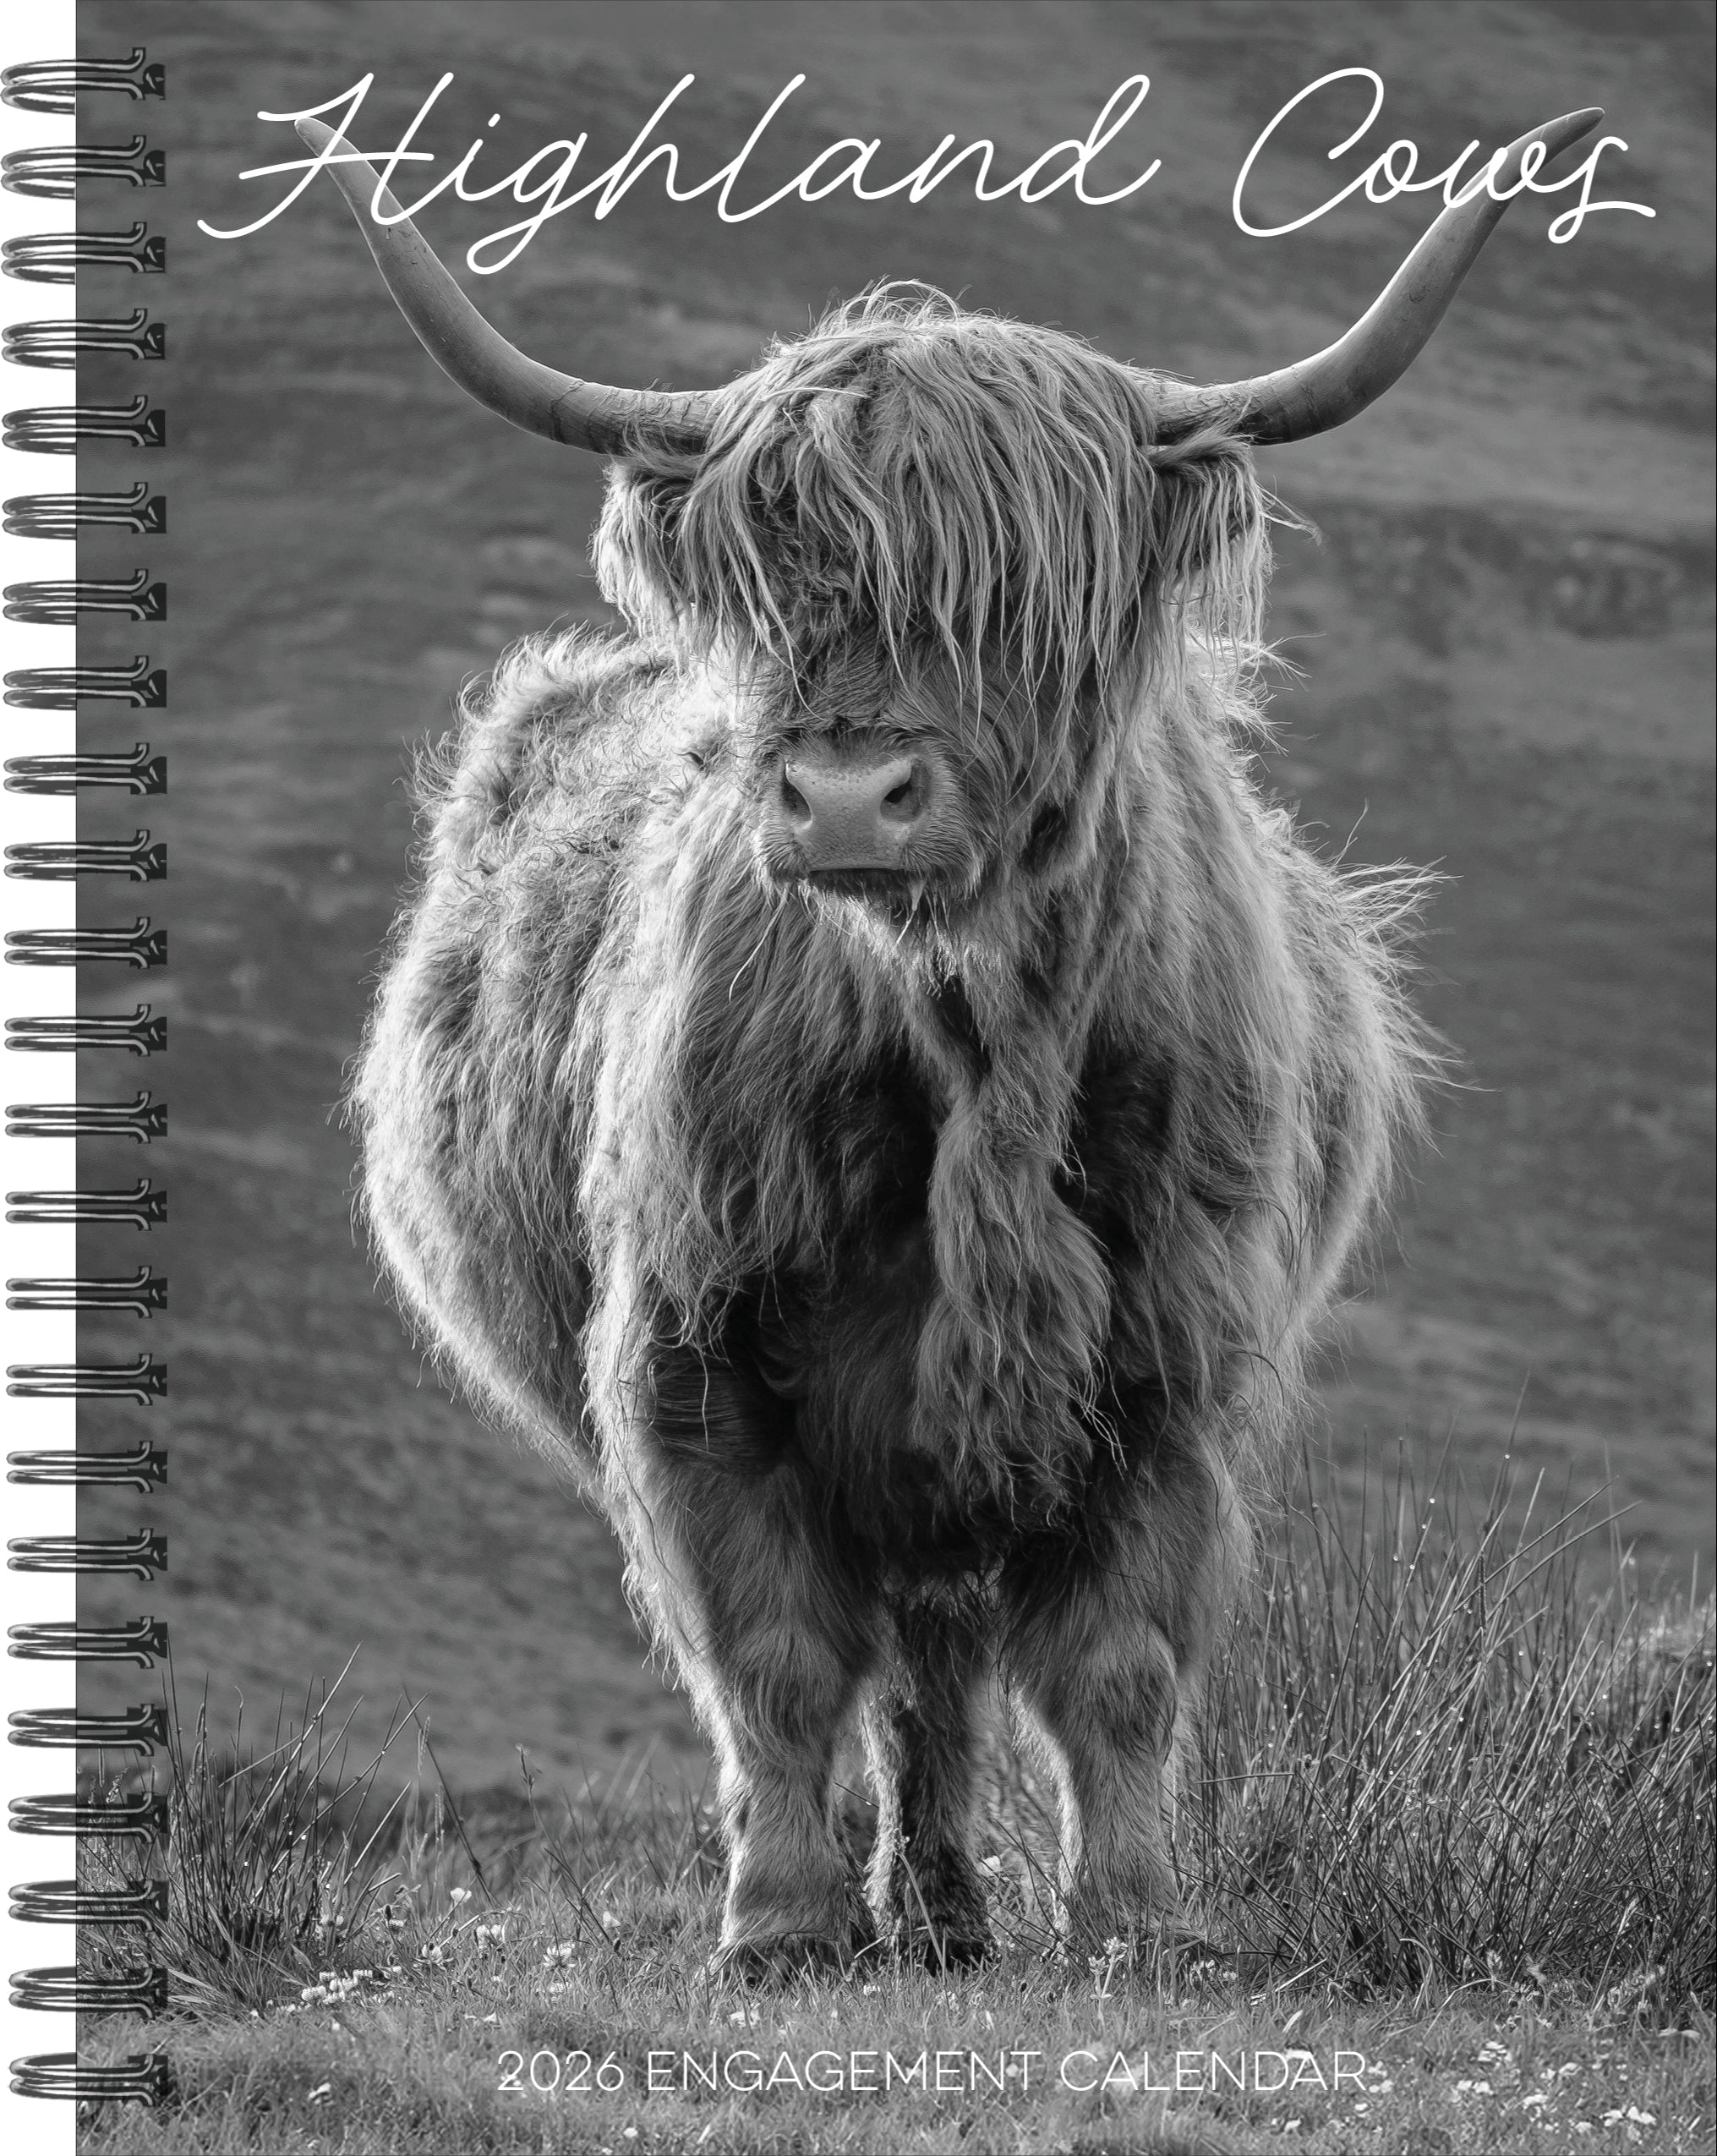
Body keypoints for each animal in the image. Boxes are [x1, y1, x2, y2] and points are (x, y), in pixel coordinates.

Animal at [315, 106, 1599, 1977]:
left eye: (1017, 596)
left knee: (939, 1660)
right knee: (903, 1662)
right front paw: (778, 1926)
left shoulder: (1170, 1358)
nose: (850, 794)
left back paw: (941, 1912)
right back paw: (905, 1910)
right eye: (775, 586)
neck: (975, 1039)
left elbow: (1115, 1668)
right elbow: (774, 1662)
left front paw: (1135, 1924)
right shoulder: (694, 1346)